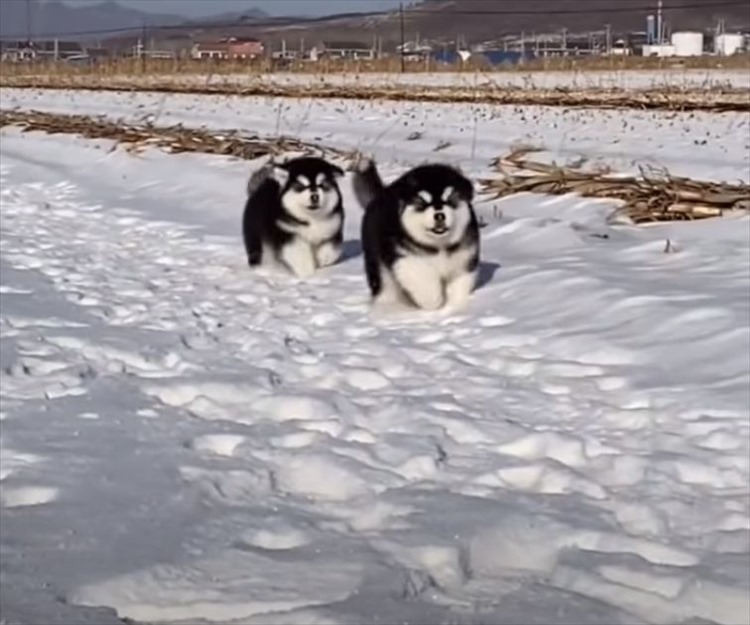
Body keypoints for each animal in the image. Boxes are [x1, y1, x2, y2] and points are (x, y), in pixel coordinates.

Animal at [354, 157, 482, 310]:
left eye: (450, 199)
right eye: (422, 202)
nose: (440, 215)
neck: (439, 246)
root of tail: (380, 194)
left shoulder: (464, 259)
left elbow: (459, 286)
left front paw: (455, 306)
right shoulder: (407, 258)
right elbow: (427, 289)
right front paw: (434, 302)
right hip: (376, 263)